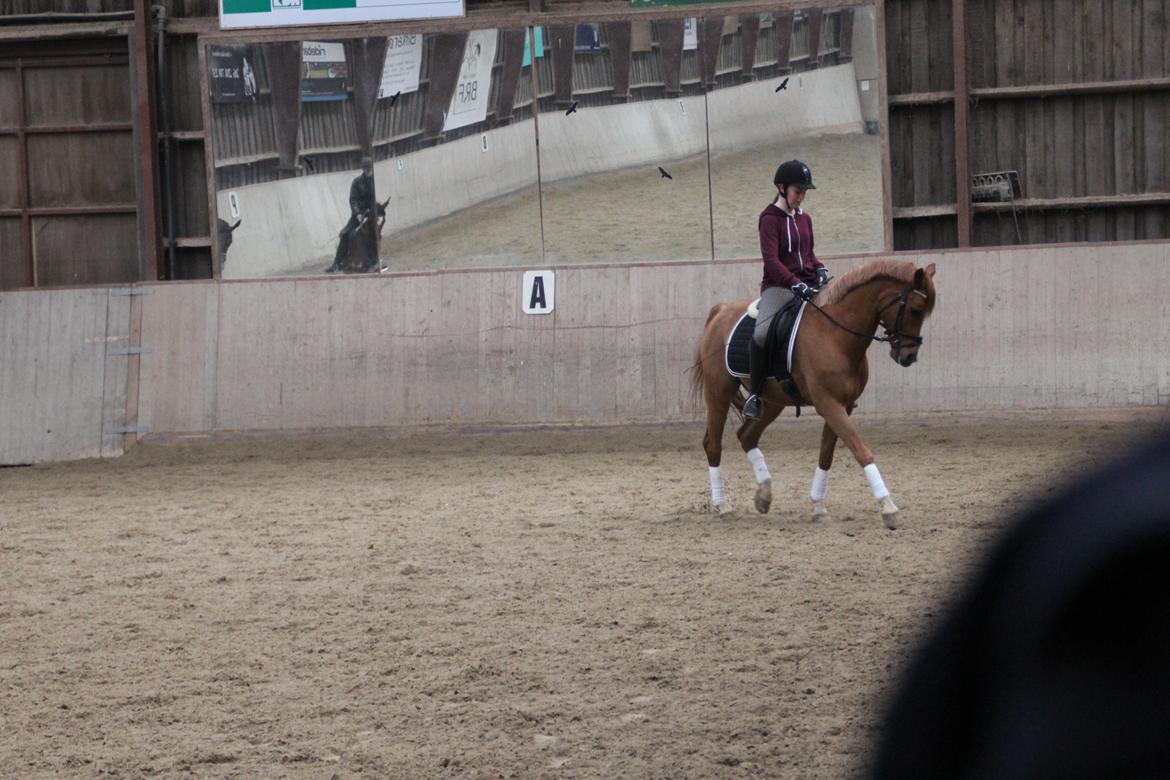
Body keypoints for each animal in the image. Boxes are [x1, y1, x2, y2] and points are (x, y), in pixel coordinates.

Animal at [687, 259, 935, 528]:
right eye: (915, 309)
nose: (909, 357)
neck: (836, 335)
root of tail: (721, 311)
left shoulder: (844, 405)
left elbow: (826, 455)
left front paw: (818, 506)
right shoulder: (828, 404)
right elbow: (861, 451)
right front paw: (888, 507)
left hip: (772, 401)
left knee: (747, 436)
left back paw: (764, 496)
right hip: (718, 392)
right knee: (713, 444)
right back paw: (723, 506)